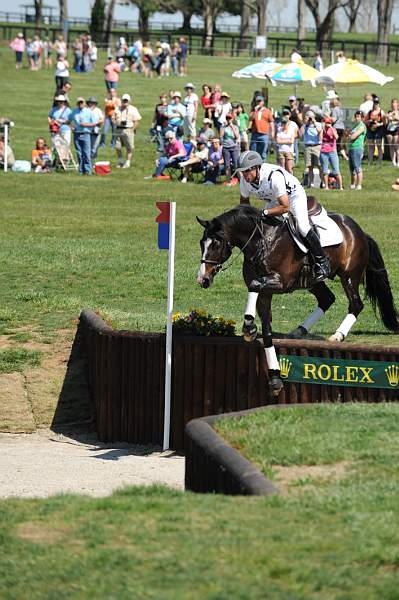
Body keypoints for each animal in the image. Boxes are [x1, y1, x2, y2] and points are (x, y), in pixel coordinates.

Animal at [198, 204, 399, 396]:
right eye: (202, 243)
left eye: (216, 244)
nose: (203, 280)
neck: (260, 241)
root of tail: (359, 231)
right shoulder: (266, 292)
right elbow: (267, 331)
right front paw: (275, 377)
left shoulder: (280, 283)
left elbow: (254, 285)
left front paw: (249, 326)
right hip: (312, 280)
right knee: (327, 298)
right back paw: (299, 330)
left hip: (349, 275)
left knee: (356, 304)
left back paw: (338, 335)